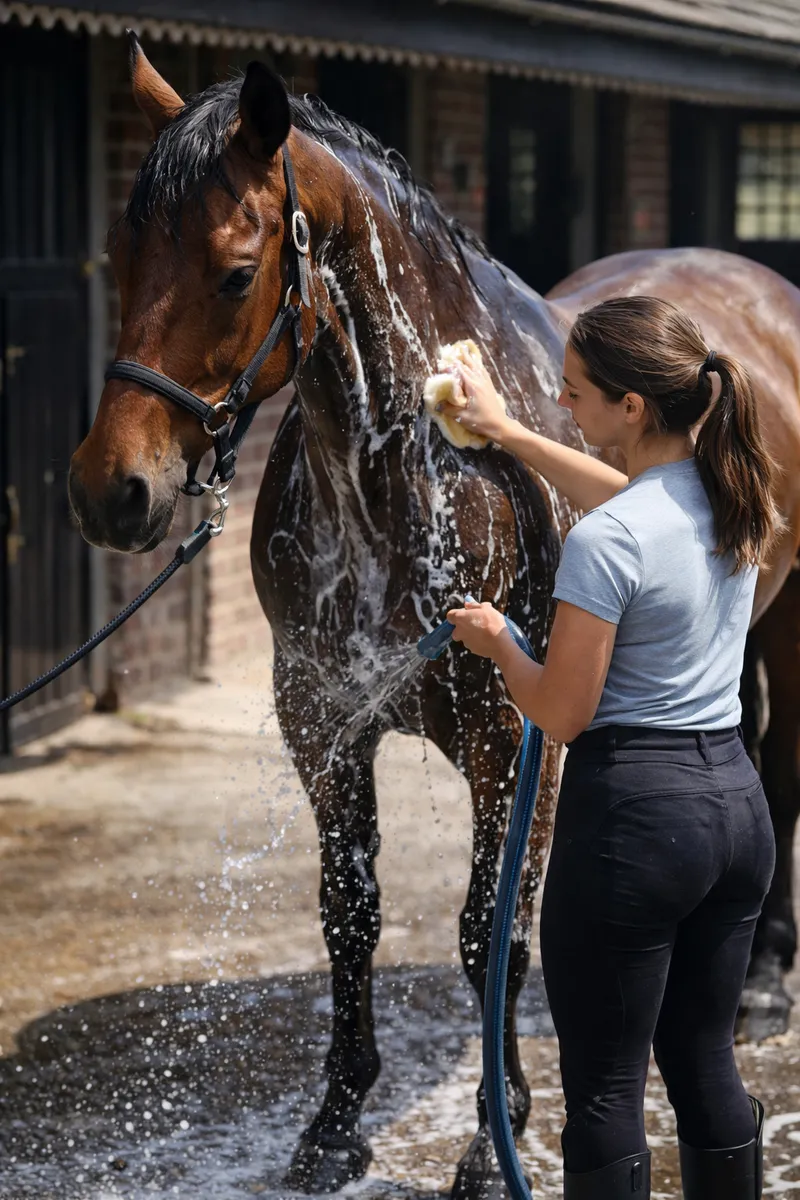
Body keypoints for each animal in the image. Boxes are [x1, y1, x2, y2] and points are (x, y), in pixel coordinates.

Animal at [67, 41, 800, 1197]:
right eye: (120, 254)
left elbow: (483, 930)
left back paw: (765, 978)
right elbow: (351, 914)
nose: (112, 492)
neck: (424, 476)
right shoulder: (321, 720)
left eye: (234, 271)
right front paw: (333, 1124)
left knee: (779, 776)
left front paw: (492, 1141)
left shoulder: (512, 736)